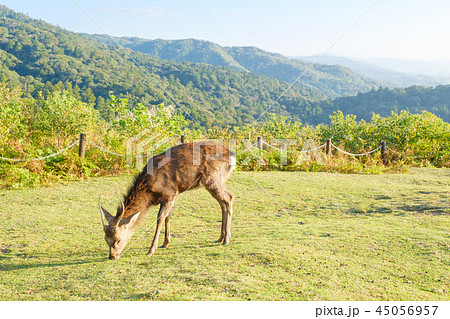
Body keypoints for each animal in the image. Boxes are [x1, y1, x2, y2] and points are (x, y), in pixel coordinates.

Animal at [98, 142, 236, 260]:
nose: (112, 257)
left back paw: (226, 239)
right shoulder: (167, 198)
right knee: (223, 203)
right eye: (106, 239)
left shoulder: (170, 193)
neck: (150, 192)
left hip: (212, 179)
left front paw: (151, 249)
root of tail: (232, 155)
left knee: (229, 198)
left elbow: (160, 219)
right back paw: (220, 237)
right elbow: (167, 217)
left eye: (118, 240)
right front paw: (165, 243)